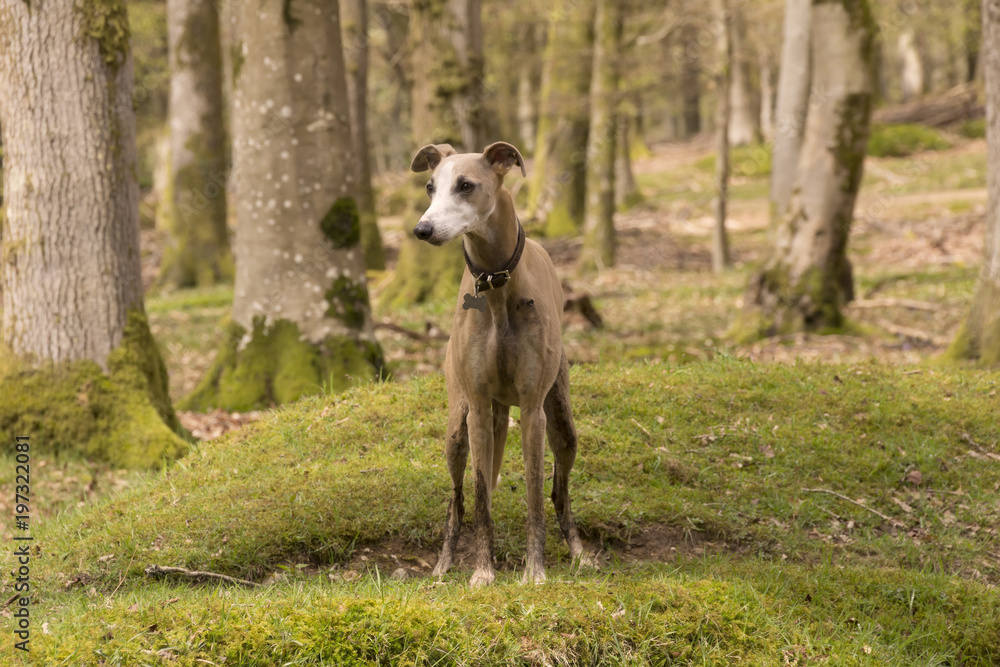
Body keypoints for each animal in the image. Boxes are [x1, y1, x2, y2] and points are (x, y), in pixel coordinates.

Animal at [412, 142, 588, 588]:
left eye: (466, 185)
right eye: (429, 187)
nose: (422, 230)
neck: (496, 284)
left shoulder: (531, 409)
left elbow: (535, 496)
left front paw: (535, 571)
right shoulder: (476, 408)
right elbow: (479, 499)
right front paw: (482, 572)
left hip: (561, 421)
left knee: (559, 491)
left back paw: (580, 553)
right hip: (460, 429)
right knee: (458, 500)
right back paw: (443, 565)